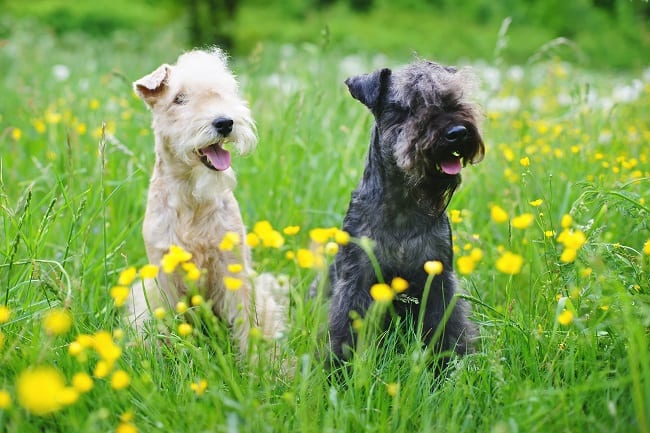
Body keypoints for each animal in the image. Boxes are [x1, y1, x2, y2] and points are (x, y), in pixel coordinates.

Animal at [128, 47, 284, 352]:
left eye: (223, 92)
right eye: (179, 98)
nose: (225, 122)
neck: (192, 197)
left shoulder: (232, 266)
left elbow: (247, 323)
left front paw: (255, 362)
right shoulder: (165, 274)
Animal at [326, 60, 484, 364]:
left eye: (453, 99)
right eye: (410, 107)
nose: (458, 132)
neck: (403, 206)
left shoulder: (438, 279)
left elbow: (447, 328)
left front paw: (447, 365)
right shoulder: (356, 282)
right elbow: (345, 332)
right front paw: (340, 370)